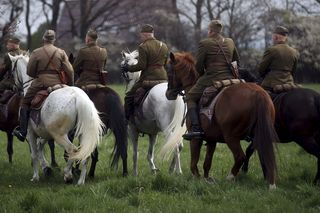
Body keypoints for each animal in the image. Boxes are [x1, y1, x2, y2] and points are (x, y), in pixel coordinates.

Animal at [9, 53, 104, 185]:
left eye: (12, 71)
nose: (14, 88)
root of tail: (78, 97)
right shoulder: (45, 134)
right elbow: (39, 148)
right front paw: (46, 168)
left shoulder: (30, 133)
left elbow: (34, 154)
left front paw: (35, 177)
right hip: (82, 134)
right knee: (85, 154)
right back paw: (80, 181)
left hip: (60, 135)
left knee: (72, 150)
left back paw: (67, 175)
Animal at [164, 52, 278, 189]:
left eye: (168, 70)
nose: (168, 94)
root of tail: (258, 92)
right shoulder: (211, 140)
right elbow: (207, 164)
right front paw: (206, 180)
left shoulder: (196, 140)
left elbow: (194, 164)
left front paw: (197, 179)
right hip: (260, 136)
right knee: (267, 155)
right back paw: (271, 184)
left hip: (231, 137)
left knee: (240, 157)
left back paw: (230, 178)